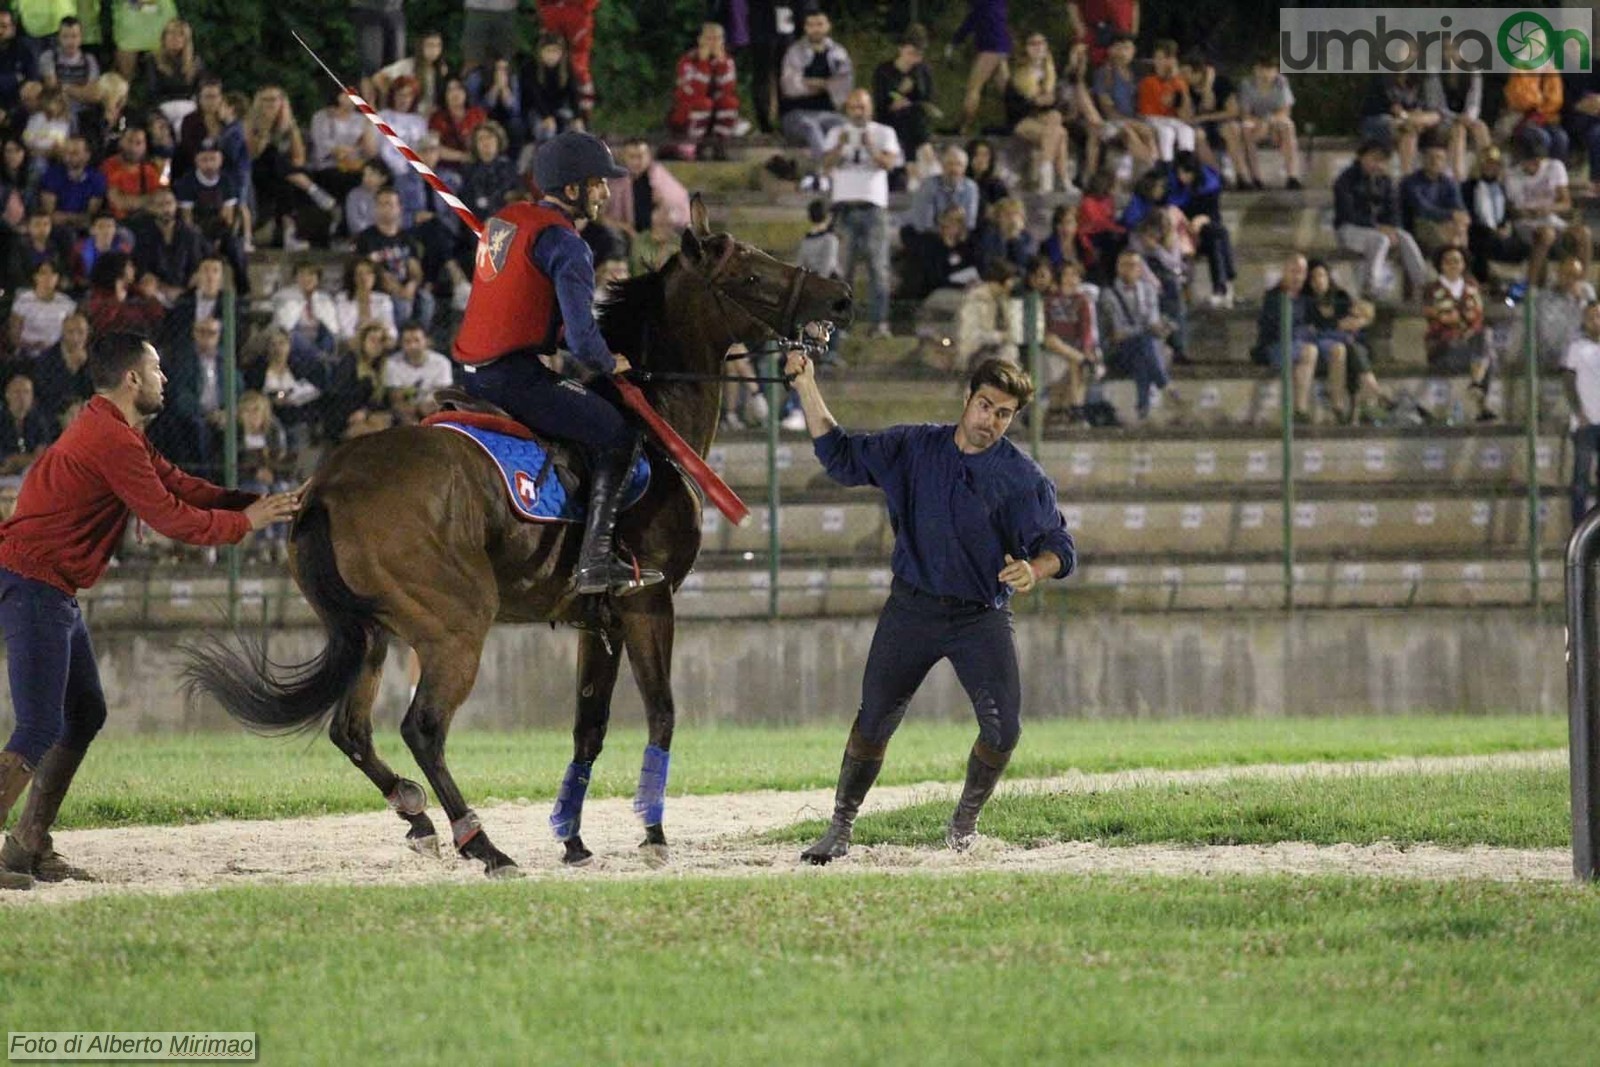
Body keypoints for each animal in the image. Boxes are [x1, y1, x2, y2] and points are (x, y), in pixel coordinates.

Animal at [183, 199, 857, 876]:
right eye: (751, 274)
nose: (842, 296)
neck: (651, 419)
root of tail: (328, 482)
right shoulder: (648, 602)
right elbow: (662, 713)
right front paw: (653, 833)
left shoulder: (600, 621)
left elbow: (589, 726)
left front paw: (573, 838)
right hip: (455, 625)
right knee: (423, 727)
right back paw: (481, 843)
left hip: (368, 631)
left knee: (351, 730)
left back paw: (416, 812)